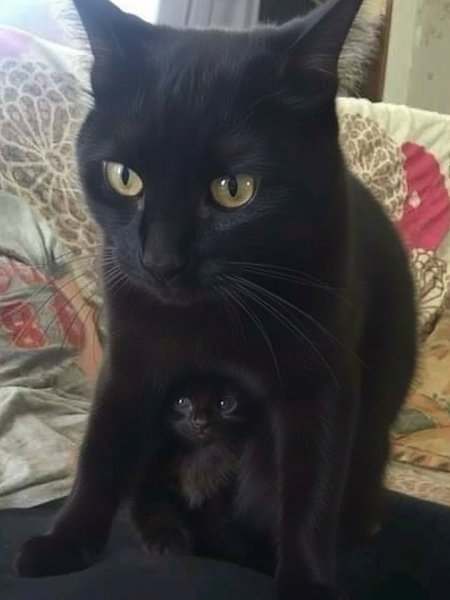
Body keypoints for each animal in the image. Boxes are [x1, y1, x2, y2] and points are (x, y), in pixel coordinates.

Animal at [15, 0, 417, 598]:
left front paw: (306, 582)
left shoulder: (322, 384)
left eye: (234, 190)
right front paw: (64, 543)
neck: (211, 319)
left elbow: (312, 492)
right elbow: (100, 452)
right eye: (124, 178)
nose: (160, 261)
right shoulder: (129, 362)